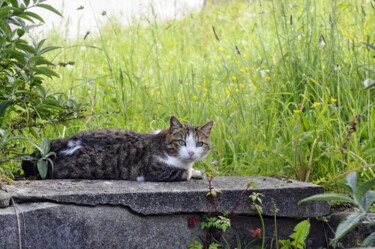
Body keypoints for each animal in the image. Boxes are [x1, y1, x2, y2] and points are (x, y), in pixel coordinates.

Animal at [22, 115, 214, 182]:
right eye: (181, 142)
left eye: (199, 144)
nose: (191, 152)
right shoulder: (152, 171)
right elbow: (183, 173)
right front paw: (192, 172)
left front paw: (196, 171)